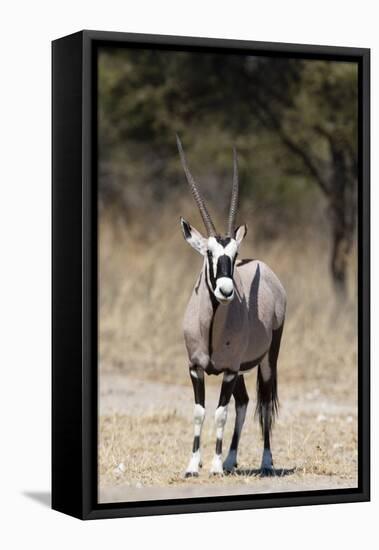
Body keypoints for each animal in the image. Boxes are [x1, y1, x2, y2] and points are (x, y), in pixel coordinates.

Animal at [179, 136, 288, 476]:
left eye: (233, 253)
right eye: (209, 253)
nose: (227, 290)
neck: (211, 326)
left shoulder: (227, 371)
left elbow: (220, 413)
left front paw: (213, 466)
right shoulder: (196, 367)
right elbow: (200, 411)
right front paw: (193, 465)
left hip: (267, 359)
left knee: (264, 402)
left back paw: (265, 461)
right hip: (241, 369)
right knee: (244, 401)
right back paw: (230, 459)